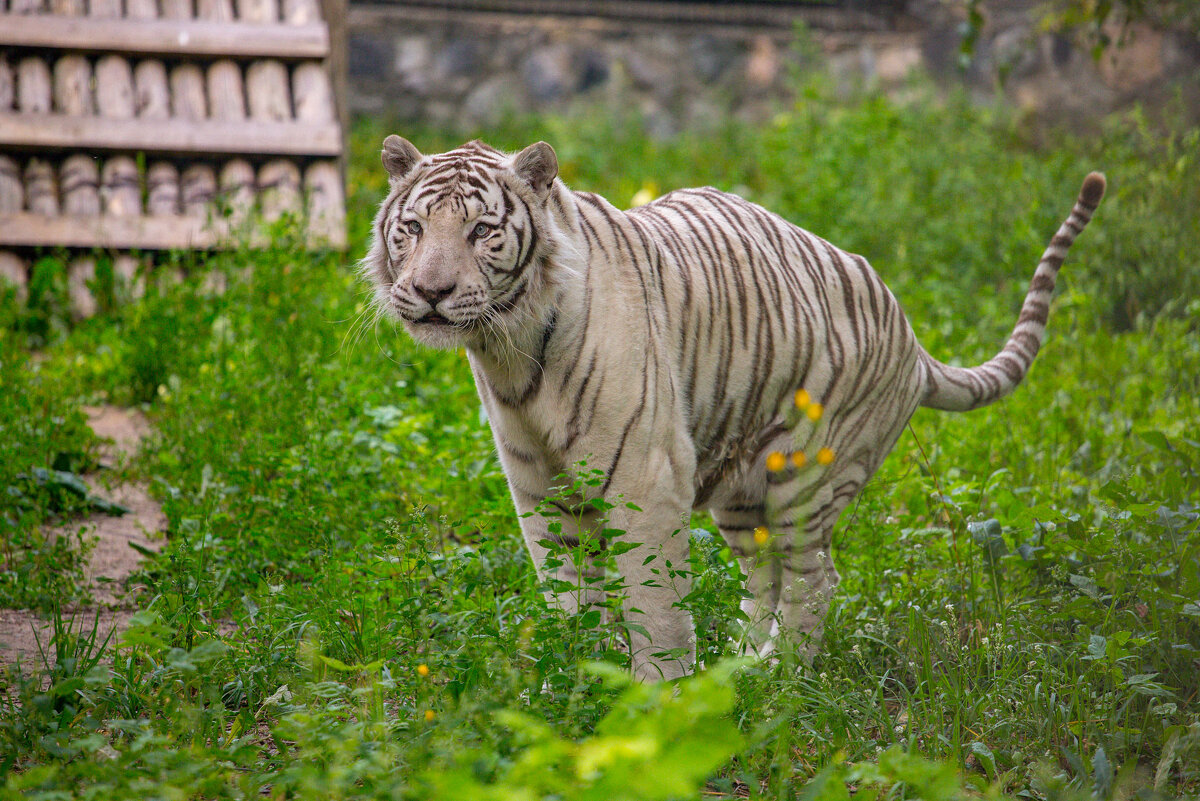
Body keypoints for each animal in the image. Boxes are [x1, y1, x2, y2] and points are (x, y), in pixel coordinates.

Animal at [364, 134, 1104, 681]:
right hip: (743, 490)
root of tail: (914, 339)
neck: (509, 348)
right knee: (764, 575)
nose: (430, 292)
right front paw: (570, 681)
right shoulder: (539, 489)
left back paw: (784, 679)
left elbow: (654, 602)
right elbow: (566, 597)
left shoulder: (645, 477)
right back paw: (742, 667)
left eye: (483, 230)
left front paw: (656, 701)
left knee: (815, 578)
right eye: (413, 228)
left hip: (810, 474)